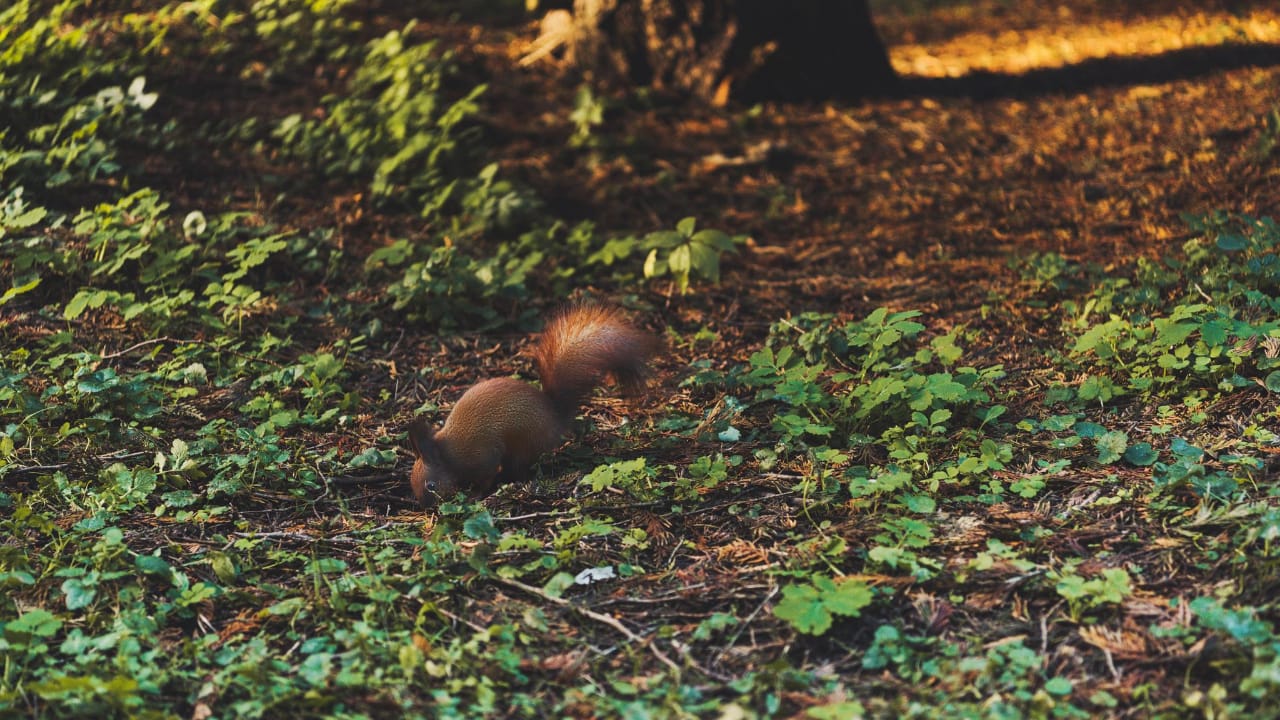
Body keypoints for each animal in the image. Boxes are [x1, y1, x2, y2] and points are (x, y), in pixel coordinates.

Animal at [407, 304, 657, 505]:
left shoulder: (482, 457)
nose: (425, 506)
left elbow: (486, 477)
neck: (448, 455)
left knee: (519, 469)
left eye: (431, 485)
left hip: (523, 445)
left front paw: (474, 495)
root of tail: (555, 418)